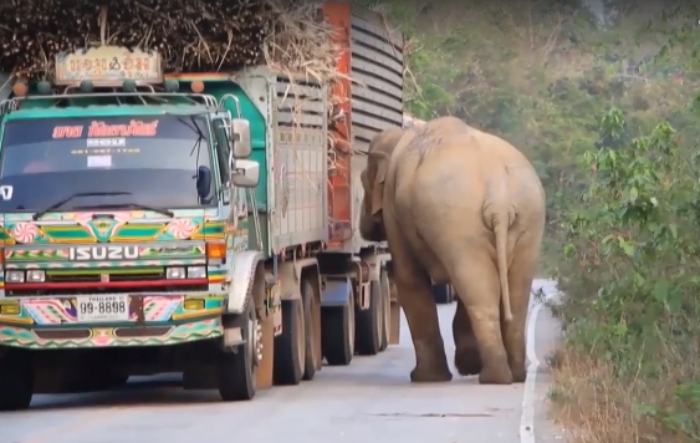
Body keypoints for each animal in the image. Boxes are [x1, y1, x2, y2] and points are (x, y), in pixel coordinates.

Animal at [360, 117, 548, 386]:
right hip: (529, 218)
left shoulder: (394, 210)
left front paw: (426, 378)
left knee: (478, 289)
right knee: (513, 290)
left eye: (364, 180)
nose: (363, 227)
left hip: (457, 220)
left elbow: (409, 280)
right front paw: (465, 365)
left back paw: (493, 377)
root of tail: (499, 201)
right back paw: (515, 375)